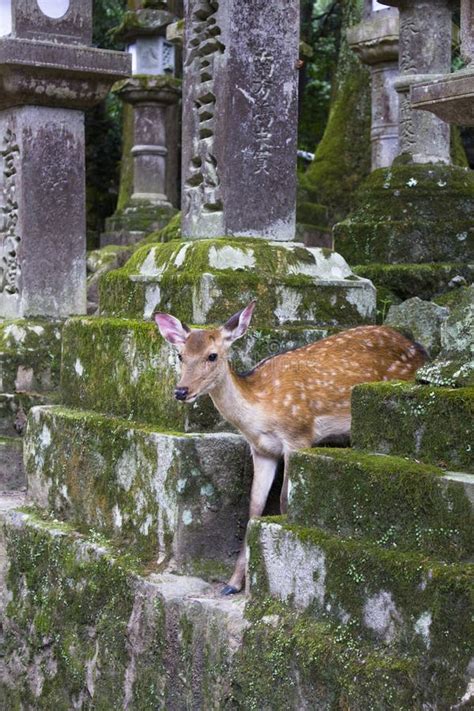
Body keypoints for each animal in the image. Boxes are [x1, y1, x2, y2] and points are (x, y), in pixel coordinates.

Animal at [154, 300, 428, 596]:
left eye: (212, 355)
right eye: (180, 355)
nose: (181, 391)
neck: (260, 411)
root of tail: (422, 352)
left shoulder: (298, 436)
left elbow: (285, 501)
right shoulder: (261, 450)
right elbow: (254, 508)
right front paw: (233, 583)